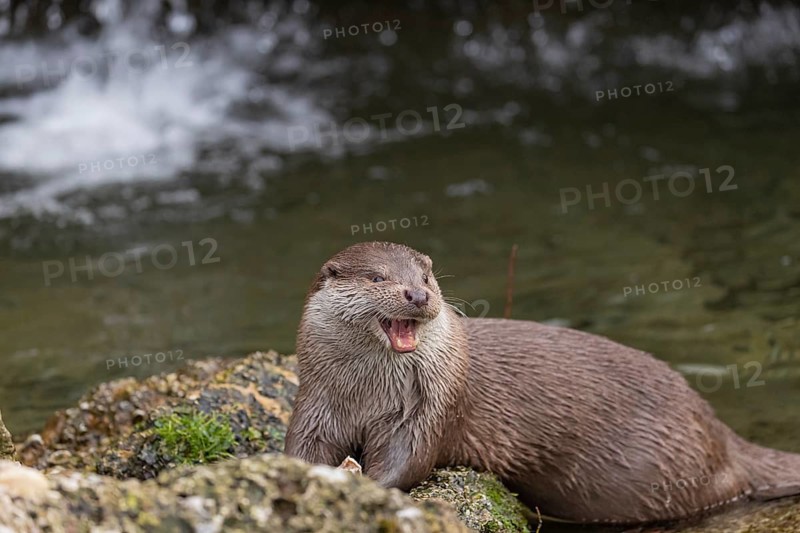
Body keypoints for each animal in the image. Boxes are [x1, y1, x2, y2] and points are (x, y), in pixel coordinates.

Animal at [284, 241, 800, 524]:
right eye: (377, 277)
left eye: (427, 276)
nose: (417, 294)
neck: (368, 396)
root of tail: (721, 435)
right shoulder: (317, 400)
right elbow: (301, 448)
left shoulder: (430, 407)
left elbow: (409, 461)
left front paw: (366, 486)